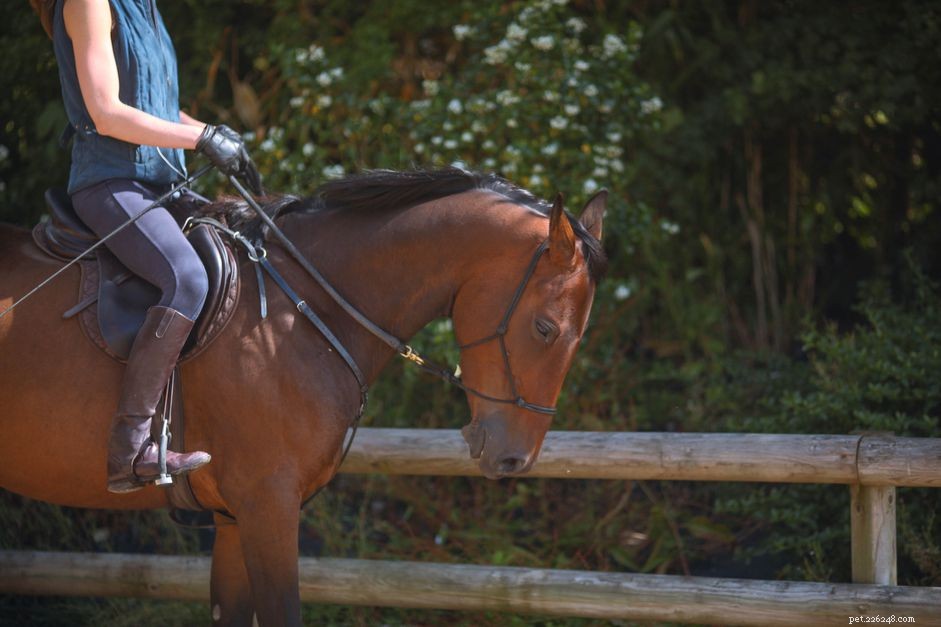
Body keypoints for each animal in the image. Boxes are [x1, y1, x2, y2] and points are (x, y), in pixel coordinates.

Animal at [0, 167, 606, 626]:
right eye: (546, 328)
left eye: (579, 335)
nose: (513, 459)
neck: (303, 310)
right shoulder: (268, 506)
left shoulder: (234, 518)